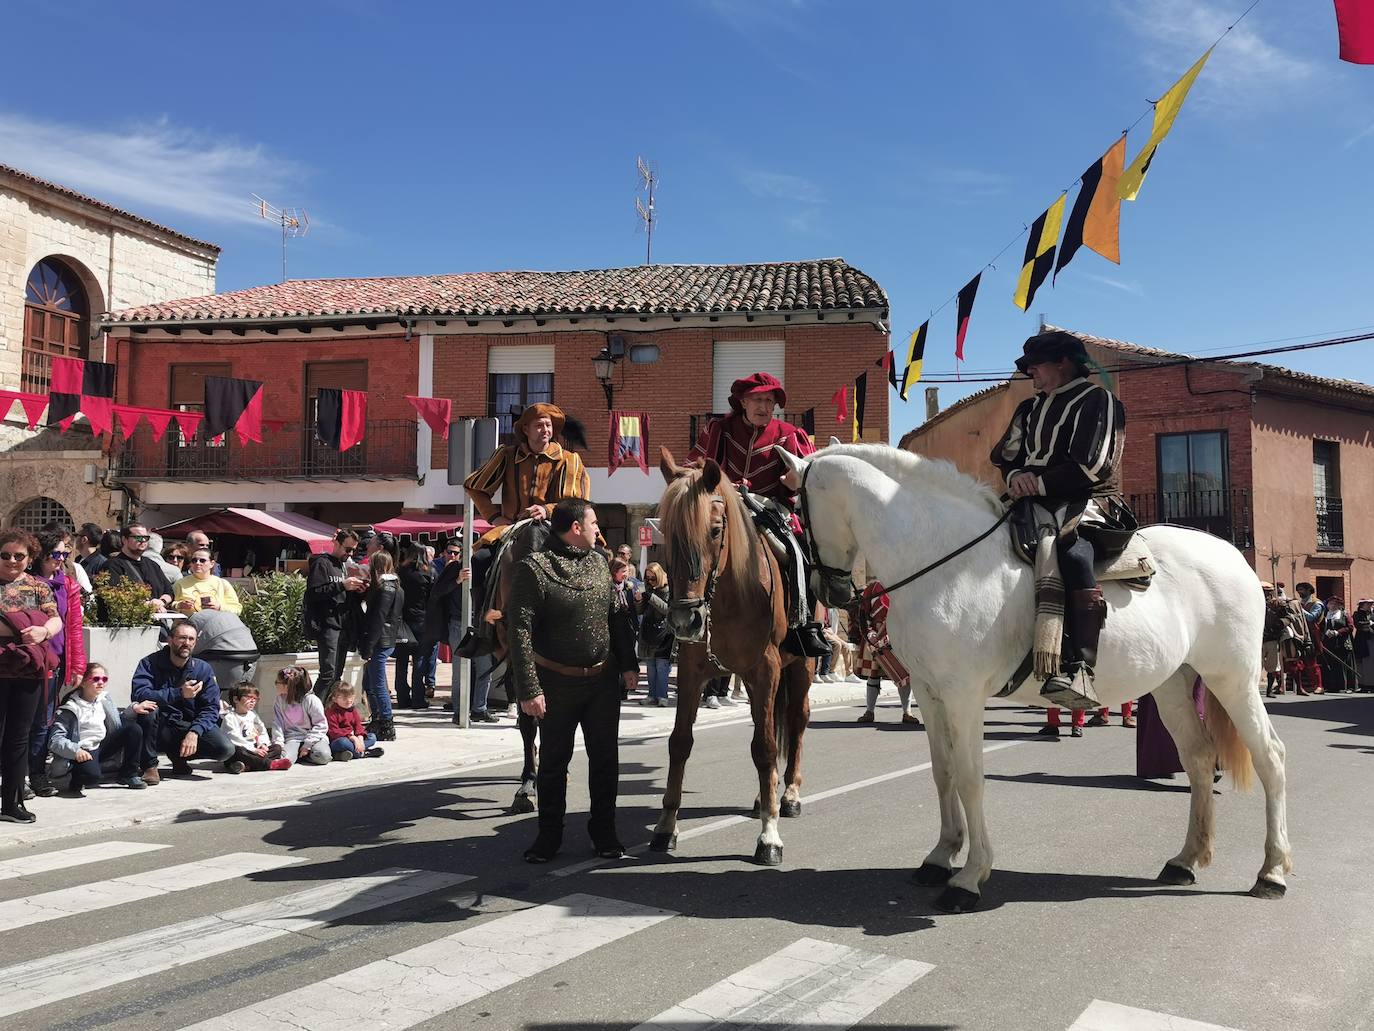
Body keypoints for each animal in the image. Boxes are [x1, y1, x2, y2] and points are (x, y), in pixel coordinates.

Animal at [648, 450, 807, 863]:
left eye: (716, 530)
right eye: (667, 532)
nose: (685, 619)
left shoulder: (765, 670)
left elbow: (765, 749)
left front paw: (769, 836)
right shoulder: (691, 672)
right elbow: (679, 743)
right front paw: (666, 826)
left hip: (802, 666)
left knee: (796, 722)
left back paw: (789, 794)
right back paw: (764, 797)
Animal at [780, 445, 1291, 912]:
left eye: (798, 513)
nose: (831, 592)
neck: (943, 561)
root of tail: (1234, 557)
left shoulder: (963, 695)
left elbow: (969, 778)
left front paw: (970, 876)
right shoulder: (928, 692)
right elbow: (943, 772)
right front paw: (940, 856)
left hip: (1233, 678)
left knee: (1270, 757)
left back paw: (1272, 871)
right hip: (1174, 684)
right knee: (1200, 760)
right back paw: (1185, 860)